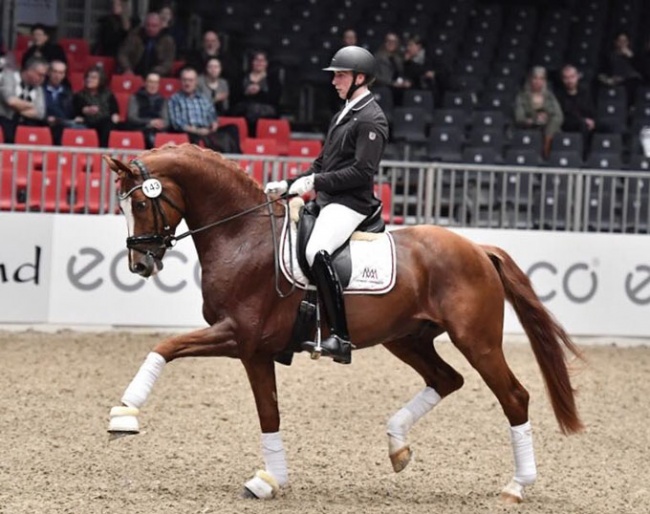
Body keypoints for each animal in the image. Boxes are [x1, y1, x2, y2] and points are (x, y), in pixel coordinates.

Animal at [105, 143, 584, 500]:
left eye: (142, 203)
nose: (139, 264)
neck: (243, 236)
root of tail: (478, 249)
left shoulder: (238, 335)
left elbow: (165, 347)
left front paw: (124, 415)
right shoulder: (255, 351)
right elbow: (269, 413)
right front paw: (269, 479)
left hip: (477, 341)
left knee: (514, 396)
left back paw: (517, 486)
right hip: (407, 339)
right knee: (446, 379)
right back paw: (397, 445)